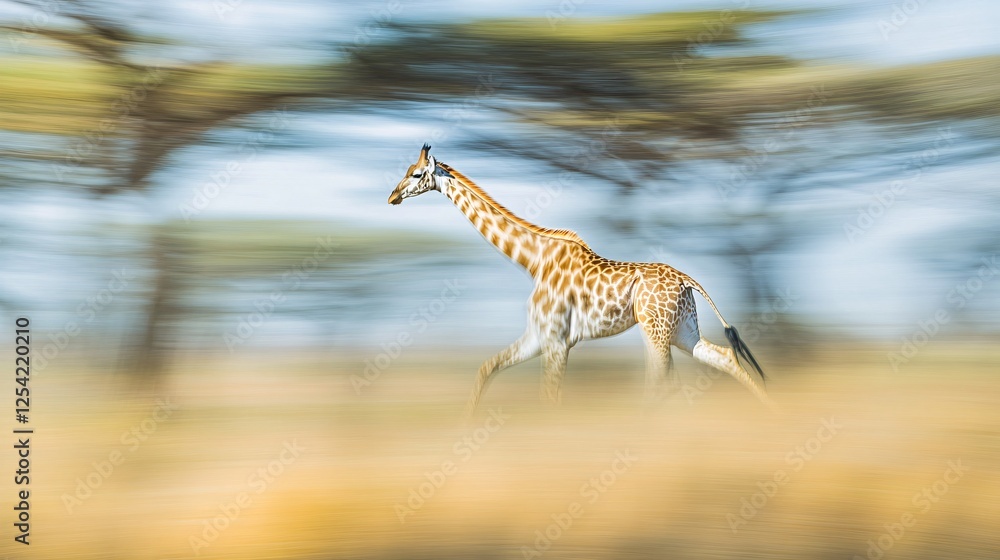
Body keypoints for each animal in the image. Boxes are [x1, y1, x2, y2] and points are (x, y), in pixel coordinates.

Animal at [388, 145, 776, 417]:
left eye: (417, 173)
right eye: (407, 171)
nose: (392, 196)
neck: (533, 261)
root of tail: (687, 279)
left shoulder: (557, 341)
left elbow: (549, 397)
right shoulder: (540, 336)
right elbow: (487, 368)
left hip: (656, 330)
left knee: (663, 381)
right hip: (682, 329)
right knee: (723, 357)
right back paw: (769, 414)